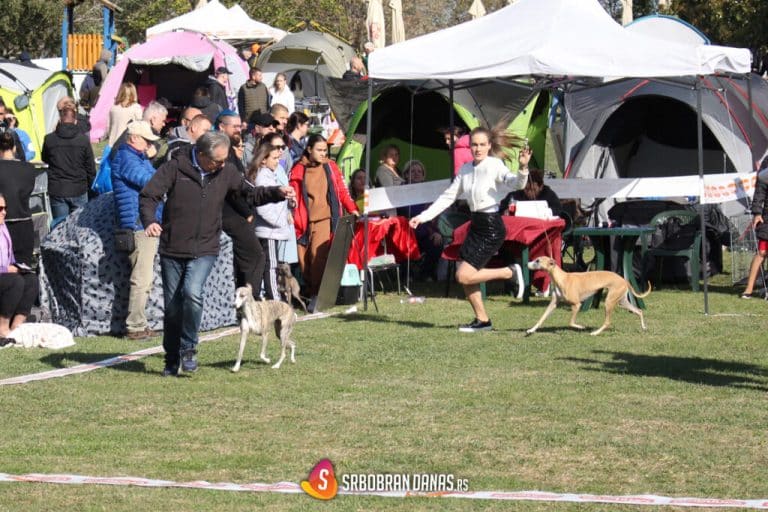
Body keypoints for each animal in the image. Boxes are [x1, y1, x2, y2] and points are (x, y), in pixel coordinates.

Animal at [524, 256, 652, 336]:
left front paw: (581, 327)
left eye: (537, 261)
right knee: (639, 311)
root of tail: (624, 280)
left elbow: (571, 322)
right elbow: (542, 318)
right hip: (622, 301)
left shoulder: (576, 305)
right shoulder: (553, 303)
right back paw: (644, 327)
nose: (526, 264)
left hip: (609, 302)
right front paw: (531, 330)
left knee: (607, 322)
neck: (562, 278)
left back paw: (595, 333)